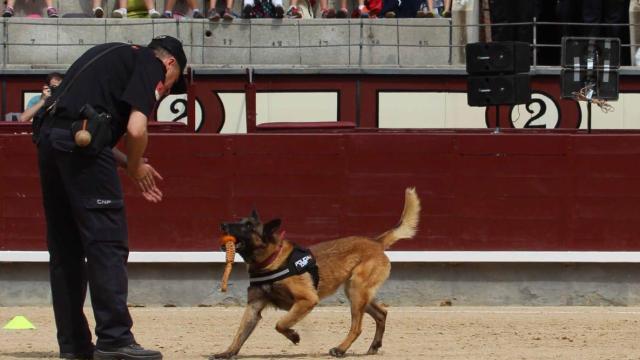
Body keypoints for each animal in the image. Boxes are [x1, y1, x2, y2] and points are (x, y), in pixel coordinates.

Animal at [214, 187, 420, 358]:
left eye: (248, 226)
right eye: (239, 221)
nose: (222, 224)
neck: (270, 260)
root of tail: (376, 242)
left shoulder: (307, 300)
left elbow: (281, 323)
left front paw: (294, 336)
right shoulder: (254, 307)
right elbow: (240, 333)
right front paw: (228, 352)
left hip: (357, 293)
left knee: (357, 327)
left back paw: (340, 349)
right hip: (358, 294)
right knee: (381, 314)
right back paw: (374, 346)